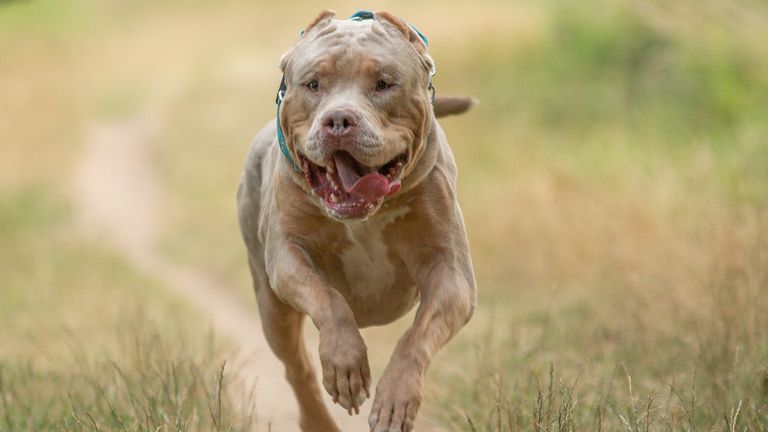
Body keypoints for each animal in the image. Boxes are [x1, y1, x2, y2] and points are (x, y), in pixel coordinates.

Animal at [237, 11, 476, 432]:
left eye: (383, 83)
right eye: (313, 84)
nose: (338, 119)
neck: (365, 213)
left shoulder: (452, 275)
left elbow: (416, 336)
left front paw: (395, 399)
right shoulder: (287, 256)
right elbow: (328, 299)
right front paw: (345, 366)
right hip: (271, 306)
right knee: (296, 367)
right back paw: (318, 419)